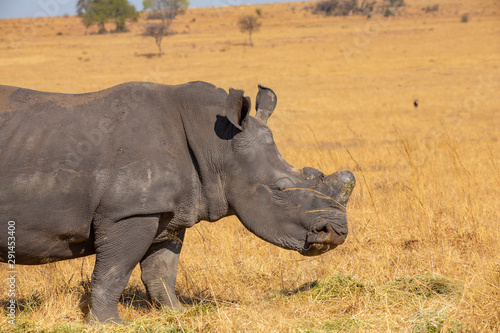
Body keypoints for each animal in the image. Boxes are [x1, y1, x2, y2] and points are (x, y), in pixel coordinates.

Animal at [0, 81, 356, 322]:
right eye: (281, 189)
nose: (337, 233)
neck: (217, 146)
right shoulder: (128, 212)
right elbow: (115, 270)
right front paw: (109, 324)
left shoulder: (169, 212)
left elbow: (161, 271)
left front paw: (177, 313)